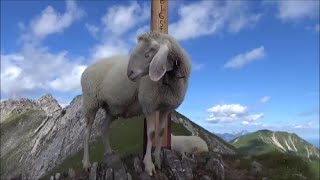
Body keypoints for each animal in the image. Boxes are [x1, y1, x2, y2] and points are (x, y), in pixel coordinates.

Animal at [80, 31, 191, 176]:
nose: (129, 73)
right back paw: (86, 163)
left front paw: (157, 160)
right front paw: (149, 165)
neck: (167, 79)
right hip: (91, 102)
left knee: (103, 128)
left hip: (112, 109)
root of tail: (86, 69)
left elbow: (161, 132)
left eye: (150, 51)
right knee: (87, 132)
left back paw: (109, 152)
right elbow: (151, 133)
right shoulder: (149, 104)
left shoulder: (166, 107)